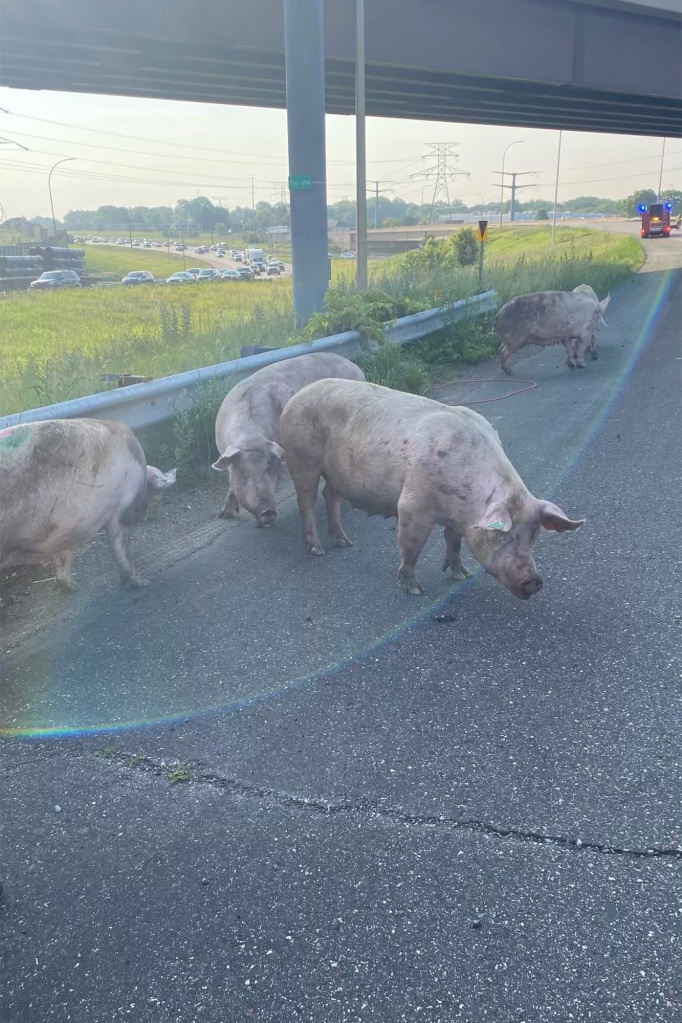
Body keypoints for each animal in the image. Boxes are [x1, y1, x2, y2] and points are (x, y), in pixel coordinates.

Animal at [0, 417, 175, 593]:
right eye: (147, 488)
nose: (143, 512)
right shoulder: (120, 512)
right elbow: (120, 550)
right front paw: (143, 583)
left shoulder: (65, 529)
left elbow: (63, 559)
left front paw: (72, 588)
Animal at [213, 351, 366, 527]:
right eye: (243, 472)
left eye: (270, 467)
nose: (268, 511)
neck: (250, 436)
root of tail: (356, 367)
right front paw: (224, 516)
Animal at [280, 378, 584, 597]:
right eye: (500, 536)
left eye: (535, 536)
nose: (534, 580)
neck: (466, 507)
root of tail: (295, 396)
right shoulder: (412, 507)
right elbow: (411, 548)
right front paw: (415, 590)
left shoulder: (457, 517)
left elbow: (454, 543)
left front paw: (461, 574)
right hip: (301, 459)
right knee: (307, 502)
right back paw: (317, 550)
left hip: (334, 473)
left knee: (329, 495)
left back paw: (344, 542)